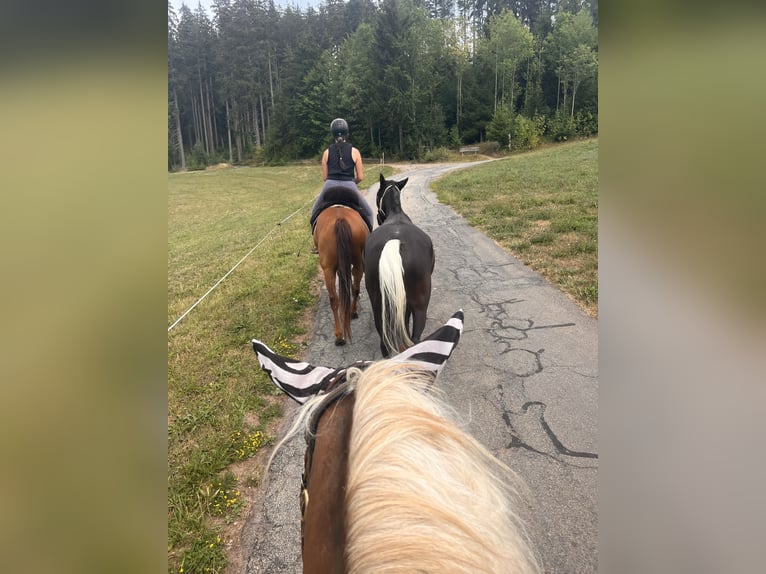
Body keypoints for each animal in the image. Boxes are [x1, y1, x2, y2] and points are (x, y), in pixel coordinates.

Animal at [313, 204, 370, 345]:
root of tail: (340, 219)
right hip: (356, 263)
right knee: (351, 290)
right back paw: (350, 315)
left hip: (329, 269)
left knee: (335, 298)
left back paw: (340, 334)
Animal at [364, 173, 435, 357]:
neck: (396, 214)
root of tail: (395, 243)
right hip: (420, 305)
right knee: (415, 339)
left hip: (378, 304)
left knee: (384, 340)